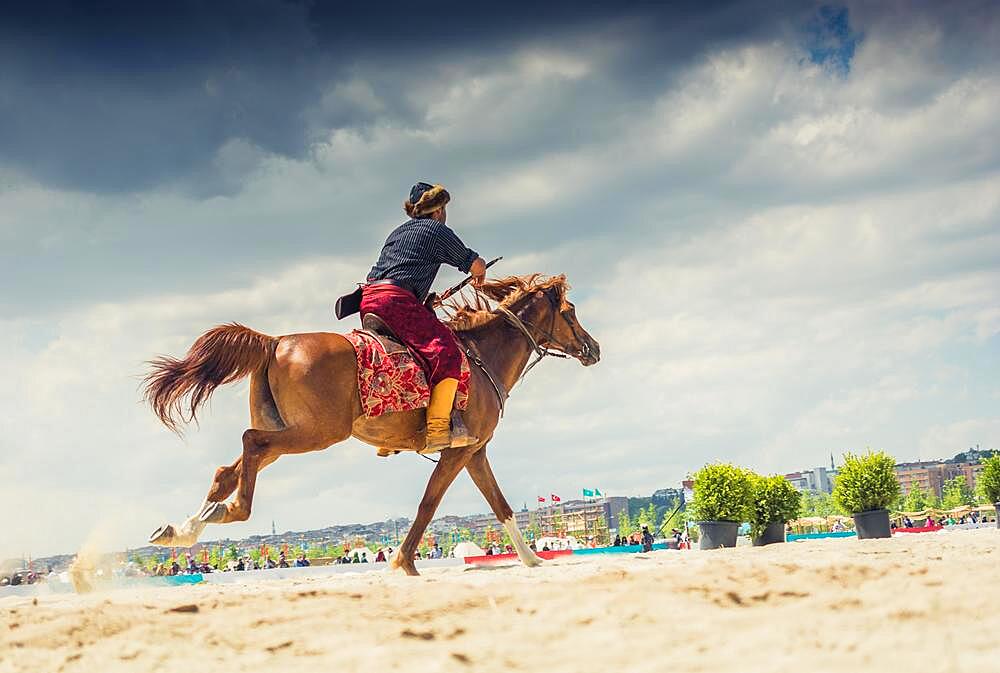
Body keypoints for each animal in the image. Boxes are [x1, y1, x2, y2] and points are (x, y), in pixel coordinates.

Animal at [144, 272, 596, 572]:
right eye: (570, 311)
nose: (593, 348)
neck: (482, 355)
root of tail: (276, 342)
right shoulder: (459, 451)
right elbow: (429, 503)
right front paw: (403, 562)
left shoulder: (475, 451)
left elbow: (500, 506)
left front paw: (533, 559)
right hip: (316, 432)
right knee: (251, 442)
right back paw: (231, 510)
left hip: (288, 430)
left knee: (229, 468)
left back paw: (186, 527)